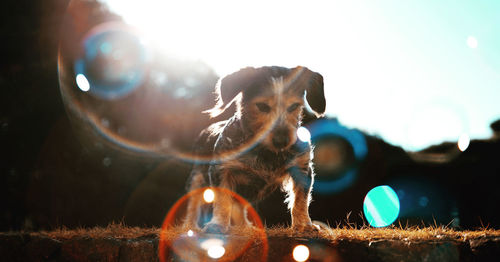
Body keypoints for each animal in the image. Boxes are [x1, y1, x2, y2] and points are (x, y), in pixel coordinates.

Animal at [184, 66, 324, 233]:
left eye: (294, 106)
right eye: (262, 106)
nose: (282, 141)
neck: (266, 151)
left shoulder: (302, 168)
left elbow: (300, 200)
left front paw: (304, 225)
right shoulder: (220, 169)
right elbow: (223, 200)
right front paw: (217, 225)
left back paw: (245, 227)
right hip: (197, 179)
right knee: (193, 206)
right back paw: (190, 227)